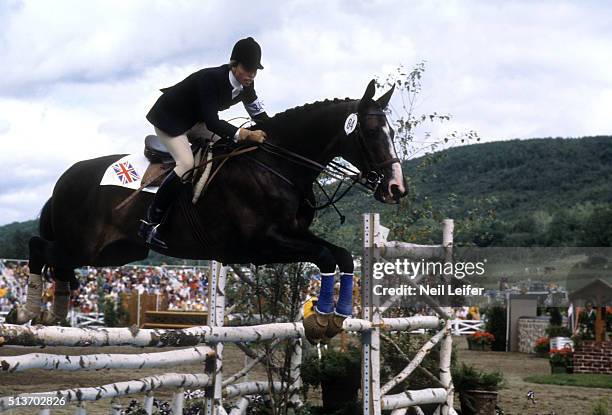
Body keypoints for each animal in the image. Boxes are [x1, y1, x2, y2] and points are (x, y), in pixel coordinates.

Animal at [8, 79, 406, 342]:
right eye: (372, 132)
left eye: (392, 132)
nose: (395, 188)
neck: (277, 163)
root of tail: (66, 178)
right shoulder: (263, 245)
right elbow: (325, 257)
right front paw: (321, 319)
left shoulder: (292, 235)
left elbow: (342, 256)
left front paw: (335, 318)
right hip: (86, 246)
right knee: (38, 247)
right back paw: (30, 310)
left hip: (117, 253)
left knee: (59, 262)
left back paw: (56, 311)